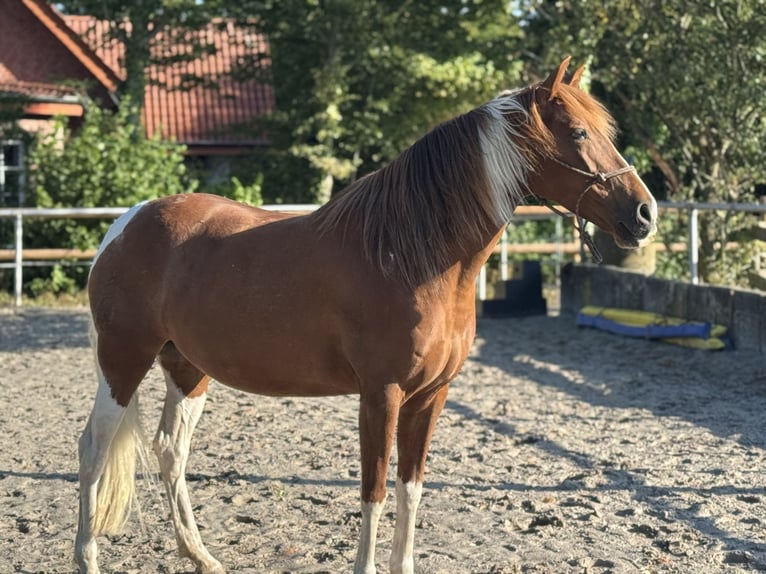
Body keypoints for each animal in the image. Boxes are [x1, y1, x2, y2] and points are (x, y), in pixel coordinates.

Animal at [75, 57, 657, 574]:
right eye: (578, 132)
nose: (644, 213)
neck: (410, 257)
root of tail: (125, 225)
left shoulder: (431, 396)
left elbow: (410, 487)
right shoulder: (382, 394)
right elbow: (374, 490)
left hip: (188, 368)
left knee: (170, 452)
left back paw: (201, 557)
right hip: (123, 362)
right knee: (94, 449)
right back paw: (87, 559)